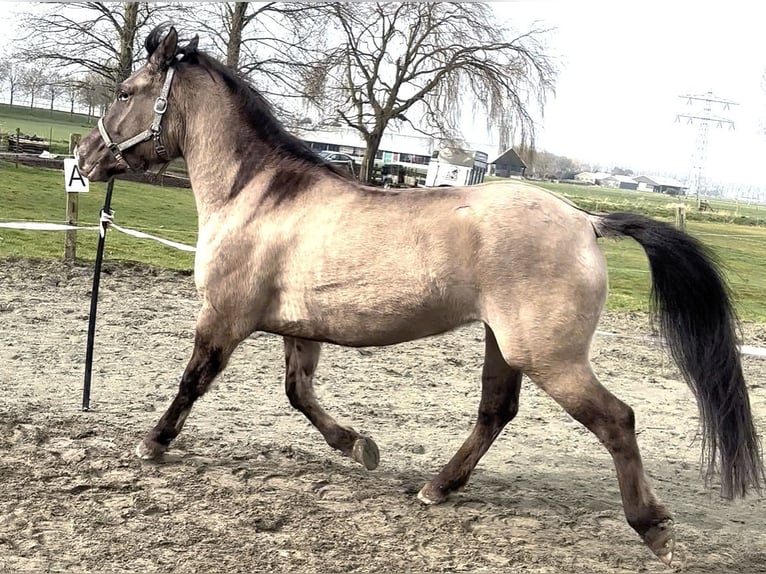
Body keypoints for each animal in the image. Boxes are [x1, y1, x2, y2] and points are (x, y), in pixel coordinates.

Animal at [78, 28, 760, 568]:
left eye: (126, 92)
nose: (84, 157)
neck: (259, 194)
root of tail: (586, 220)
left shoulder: (223, 317)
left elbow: (193, 381)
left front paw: (152, 443)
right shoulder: (299, 327)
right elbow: (299, 394)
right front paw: (359, 447)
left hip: (548, 356)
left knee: (616, 419)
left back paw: (654, 530)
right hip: (502, 345)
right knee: (495, 412)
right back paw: (438, 487)